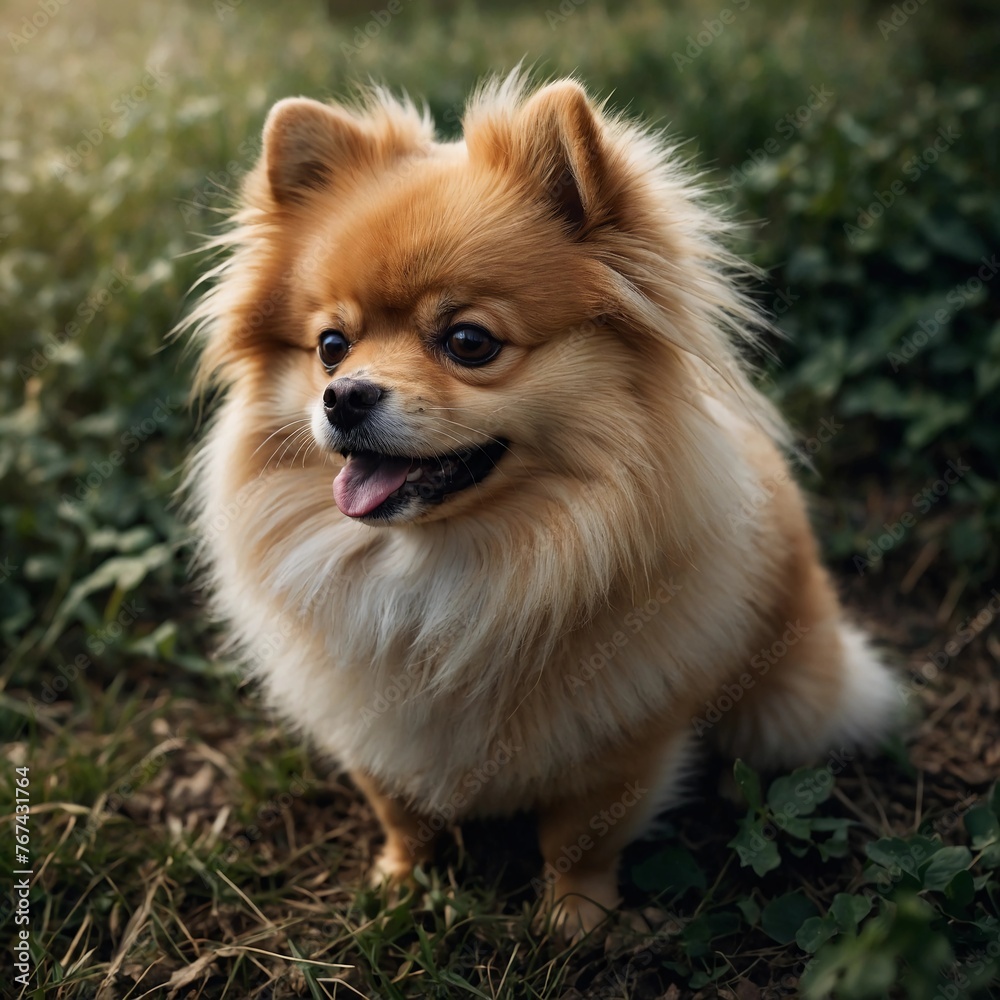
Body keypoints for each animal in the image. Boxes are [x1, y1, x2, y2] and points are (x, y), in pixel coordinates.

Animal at [188, 76, 900, 936]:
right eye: (331, 346)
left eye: (469, 342)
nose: (344, 395)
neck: (444, 571)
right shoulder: (369, 724)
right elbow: (399, 808)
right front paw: (401, 882)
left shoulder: (623, 734)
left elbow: (580, 835)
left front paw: (573, 921)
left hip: (786, 703)